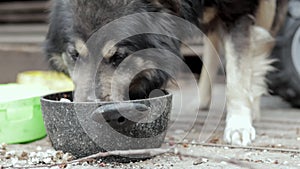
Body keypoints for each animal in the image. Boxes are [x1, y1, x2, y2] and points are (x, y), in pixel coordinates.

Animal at [44, 0, 286, 146]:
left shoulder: (237, 12)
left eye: (119, 56)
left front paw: (239, 125)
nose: (86, 112)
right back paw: (203, 101)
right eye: (74, 54)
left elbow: (237, 77)